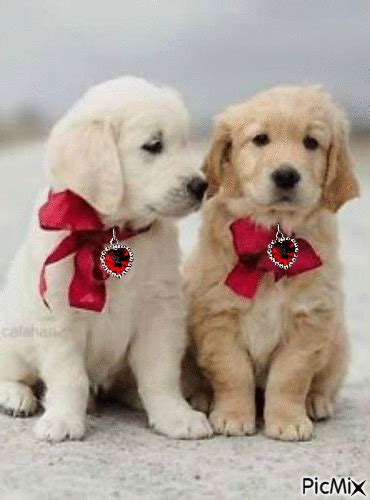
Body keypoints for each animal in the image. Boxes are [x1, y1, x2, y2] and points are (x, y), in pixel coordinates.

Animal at [0, 76, 211, 440]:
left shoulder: (160, 310)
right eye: (153, 145)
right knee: (12, 371)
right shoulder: (59, 316)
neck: (113, 231)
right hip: (14, 337)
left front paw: (175, 415)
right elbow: (69, 377)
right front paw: (63, 419)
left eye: (185, 143)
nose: (202, 186)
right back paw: (16, 395)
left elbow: (160, 373)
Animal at [184, 86, 360, 442]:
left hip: (338, 344)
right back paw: (202, 396)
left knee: (326, 382)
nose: (286, 175)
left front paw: (288, 421)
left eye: (311, 142)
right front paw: (233, 416)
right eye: (260, 139)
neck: (271, 239)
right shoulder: (218, 315)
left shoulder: (309, 320)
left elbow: (290, 376)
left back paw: (317, 402)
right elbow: (233, 371)